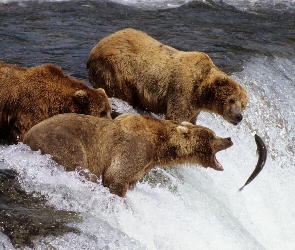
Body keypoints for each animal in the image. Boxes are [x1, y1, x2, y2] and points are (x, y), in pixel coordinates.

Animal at [23, 113, 234, 197]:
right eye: (212, 136)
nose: (229, 139)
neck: (159, 147)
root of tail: (25, 136)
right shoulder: (134, 148)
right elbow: (116, 175)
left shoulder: (144, 165)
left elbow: (130, 179)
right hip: (63, 141)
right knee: (80, 166)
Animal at [86, 28, 249, 125]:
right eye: (232, 99)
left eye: (243, 105)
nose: (239, 117)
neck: (202, 91)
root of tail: (96, 47)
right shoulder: (183, 90)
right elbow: (177, 116)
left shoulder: (195, 106)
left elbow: (191, 119)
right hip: (117, 69)